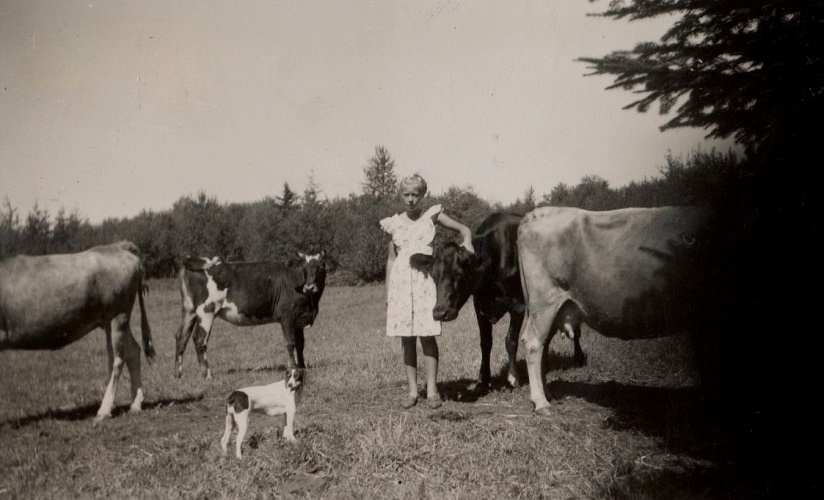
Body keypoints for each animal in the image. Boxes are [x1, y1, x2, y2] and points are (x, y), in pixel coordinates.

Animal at [0, 240, 156, 420]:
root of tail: (117, 246)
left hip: (118, 314)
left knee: (117, 359)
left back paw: (105, 409)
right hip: (113, 320)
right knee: (132, 351)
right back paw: (135, 404)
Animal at [174, 252, 326, 376]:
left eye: (319, 268)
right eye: (304, 269)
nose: (309, 287)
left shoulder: (299, 318)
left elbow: (301, 344)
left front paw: (303, 367)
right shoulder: (286, 316)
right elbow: (290, 343)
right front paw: (293, 368)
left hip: (189, 311)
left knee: (181, 337)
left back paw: (178, 375)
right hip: (207, 310)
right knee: (199, 339)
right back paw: (207, 375)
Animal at [520, 206, 720, 414]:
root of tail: (539, 212)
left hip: (555, 308)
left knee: (544, 346)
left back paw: (547, 394)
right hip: (545, 301)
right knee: (533, 343)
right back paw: (541, 402)